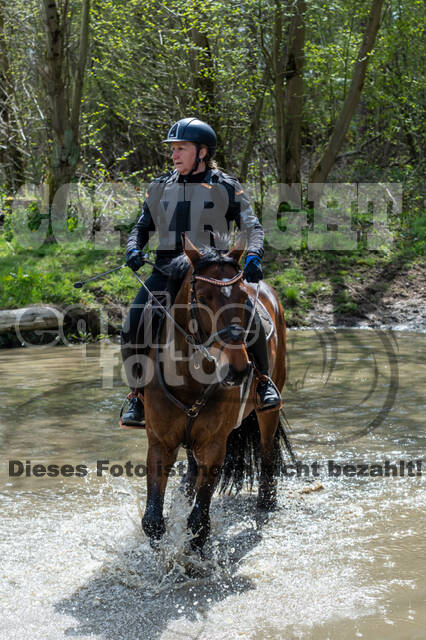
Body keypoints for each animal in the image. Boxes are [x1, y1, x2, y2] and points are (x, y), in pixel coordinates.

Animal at [140, 234, 292, 552]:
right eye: (202, 296)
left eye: (243, 298)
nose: (239, 369)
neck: (188, 380)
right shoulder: (160, 443)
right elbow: (153, 521)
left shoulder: (214, 446)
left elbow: (199, 524)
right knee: (191, 472)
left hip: (267, 413)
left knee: (268, 452)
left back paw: (266, 503)